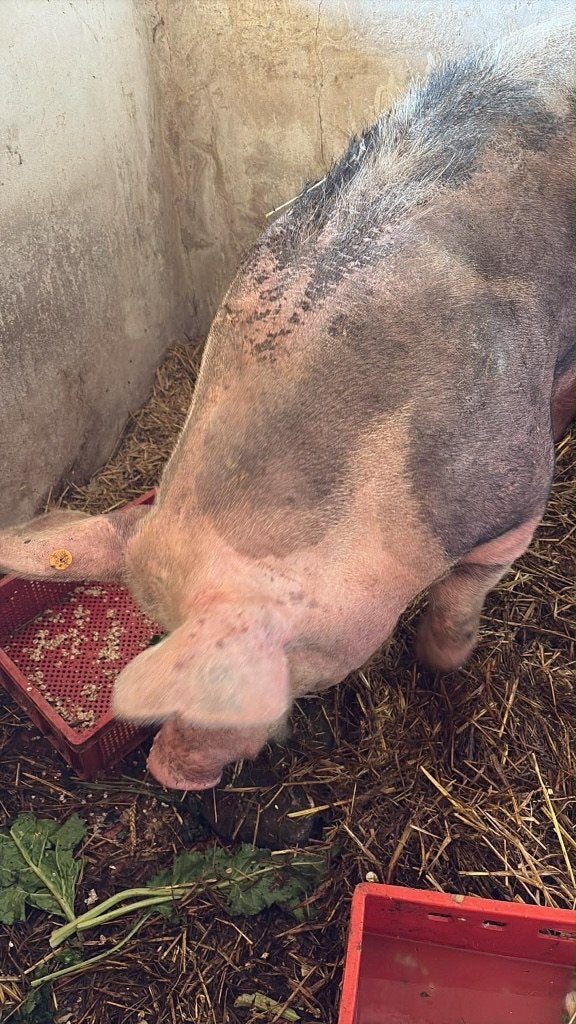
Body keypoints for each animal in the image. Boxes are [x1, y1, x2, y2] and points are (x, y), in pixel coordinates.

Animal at [0, 16, 573, 790]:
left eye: (258, 675)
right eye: (155, 632)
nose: (167, 771)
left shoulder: (512, 493)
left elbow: (461, 592)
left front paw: (443, 665)